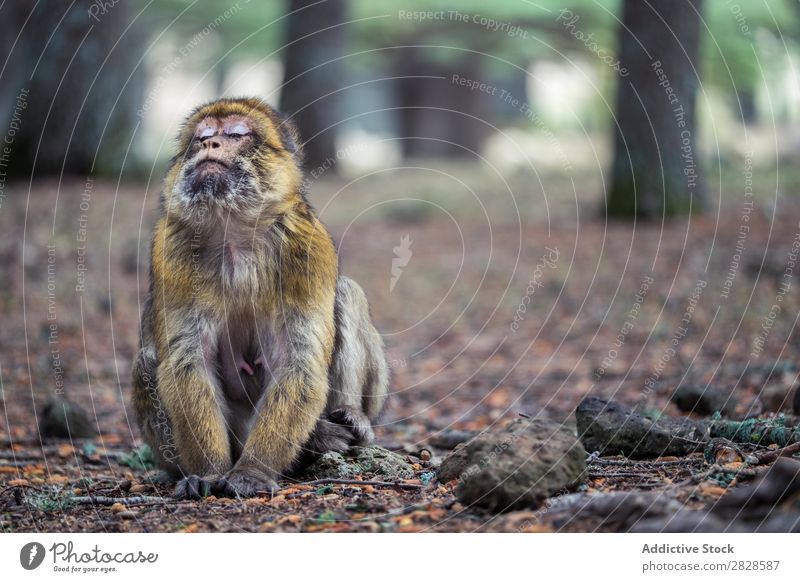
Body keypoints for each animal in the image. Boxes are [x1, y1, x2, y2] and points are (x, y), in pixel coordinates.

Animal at [131, 98, 388, 500]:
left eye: (236, 134)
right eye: (201, 137)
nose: (210, 145)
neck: (234, 229)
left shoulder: (307, 246)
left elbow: (298, 361)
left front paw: (253, 471)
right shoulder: (170, 248)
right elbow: (188, 361)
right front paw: (208, 472)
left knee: (347, 293)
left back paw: (345, 420)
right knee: (146, 360)